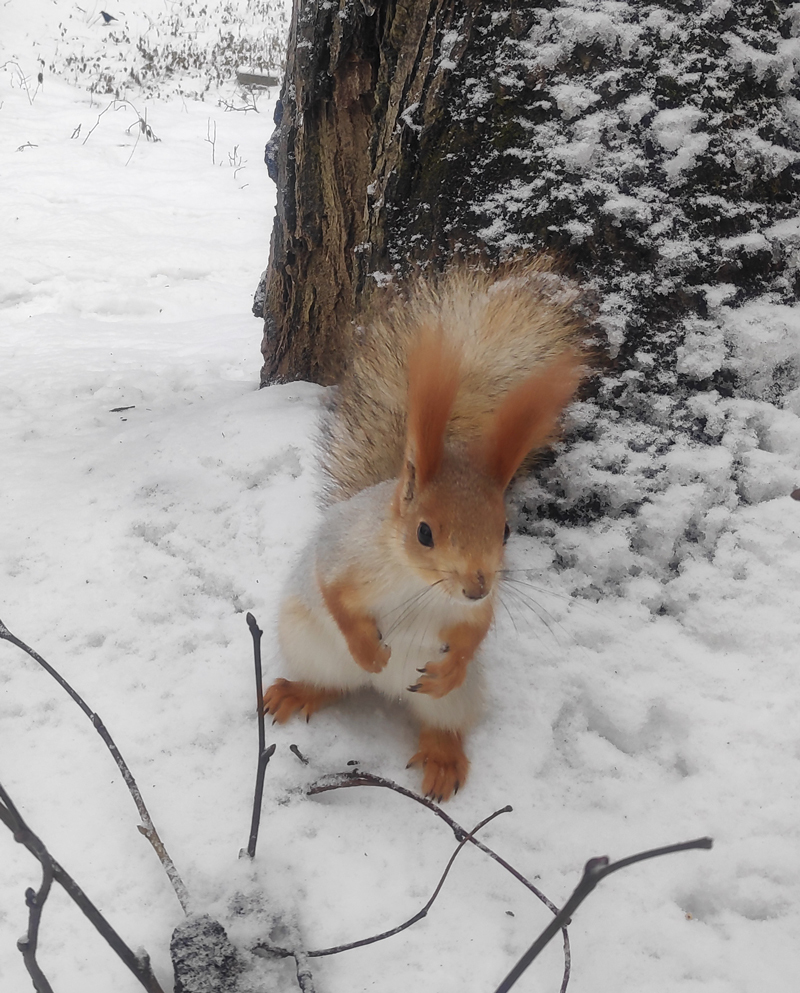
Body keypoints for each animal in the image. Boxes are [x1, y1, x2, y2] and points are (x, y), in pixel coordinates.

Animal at [262, 256, 588, 800]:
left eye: (505, 531)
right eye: (424, 533)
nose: (476, 586)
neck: (419, 583)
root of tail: (385, 692)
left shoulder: (476, 607)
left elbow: (476, 629)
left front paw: (452, 664)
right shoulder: (343, 554)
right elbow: (333, 595)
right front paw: (368, 650)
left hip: (454, 700)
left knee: (443, 721)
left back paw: (442, 757)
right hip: (308, 644)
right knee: (329, 683)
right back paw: (303, 690)